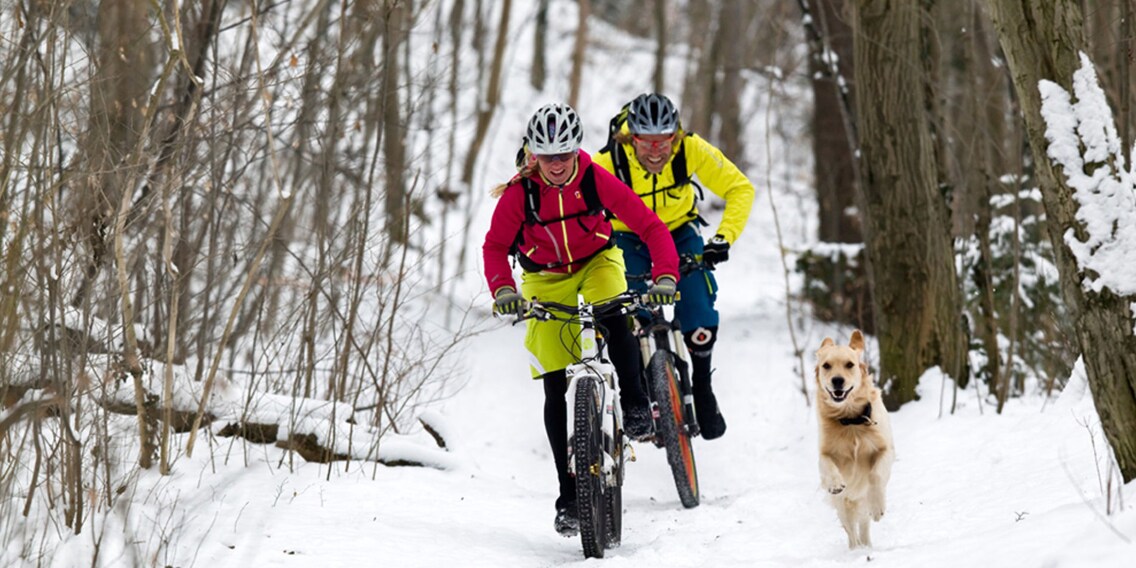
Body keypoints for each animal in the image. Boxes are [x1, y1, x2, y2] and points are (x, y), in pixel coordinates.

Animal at [817, 331, 895, 547]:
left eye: (849, 364)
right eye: (826, 366)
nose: (837, 380)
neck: (851, 420)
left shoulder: (886, 449)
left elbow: (875, 475)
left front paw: (878, 508)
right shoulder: (824, 452)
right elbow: (827, 463)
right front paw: (835, 483)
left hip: (861, 501)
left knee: (864, 525)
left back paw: (867, 544)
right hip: (844, 505)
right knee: (851, 531)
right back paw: (857, 549)